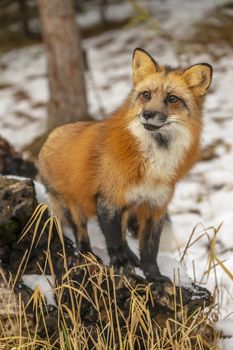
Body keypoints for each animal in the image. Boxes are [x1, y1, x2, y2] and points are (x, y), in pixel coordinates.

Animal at [39, 48, 212, 284]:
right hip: (72, 207)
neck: (153, 163)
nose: (147, 113)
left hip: (127, 209)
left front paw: (154, 277)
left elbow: (149, 250)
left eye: (172, 99)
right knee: (82, 235)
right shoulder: (108, 201)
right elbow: (113, 242)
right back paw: (88, 256)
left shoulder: (155, 206)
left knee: (123, 237)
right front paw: (120, 266)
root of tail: (50, 136)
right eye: (146, 95)